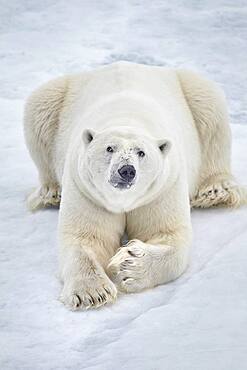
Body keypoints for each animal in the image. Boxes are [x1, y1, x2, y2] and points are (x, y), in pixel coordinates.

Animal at [24, 60, 246, 310]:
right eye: (109, 148)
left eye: (141, 152)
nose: (126, 171)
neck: (126, 116)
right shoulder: (85, 189)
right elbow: (86, 238)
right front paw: (92, 293)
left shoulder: (162, 188)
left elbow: (168, 235)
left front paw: (129, 264)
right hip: (60, 95)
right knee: (40, 107)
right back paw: (50, 193)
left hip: (189, 88)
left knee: (211, 109)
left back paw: (216, 191)